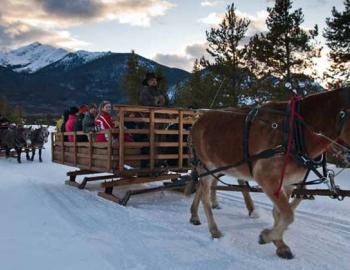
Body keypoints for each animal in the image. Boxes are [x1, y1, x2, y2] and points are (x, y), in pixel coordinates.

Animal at [190, 87, 350, 260]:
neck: (295, 132)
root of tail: (197, 121)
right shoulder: (267, 179)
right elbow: (288, 214)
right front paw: (266, 236)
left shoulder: (287, 183)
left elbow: (281, 213)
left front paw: (279, 244)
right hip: (207, 166)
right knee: (205, 195)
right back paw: (214, 230)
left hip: (216, 167)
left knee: (201, 188)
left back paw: (194, 215)